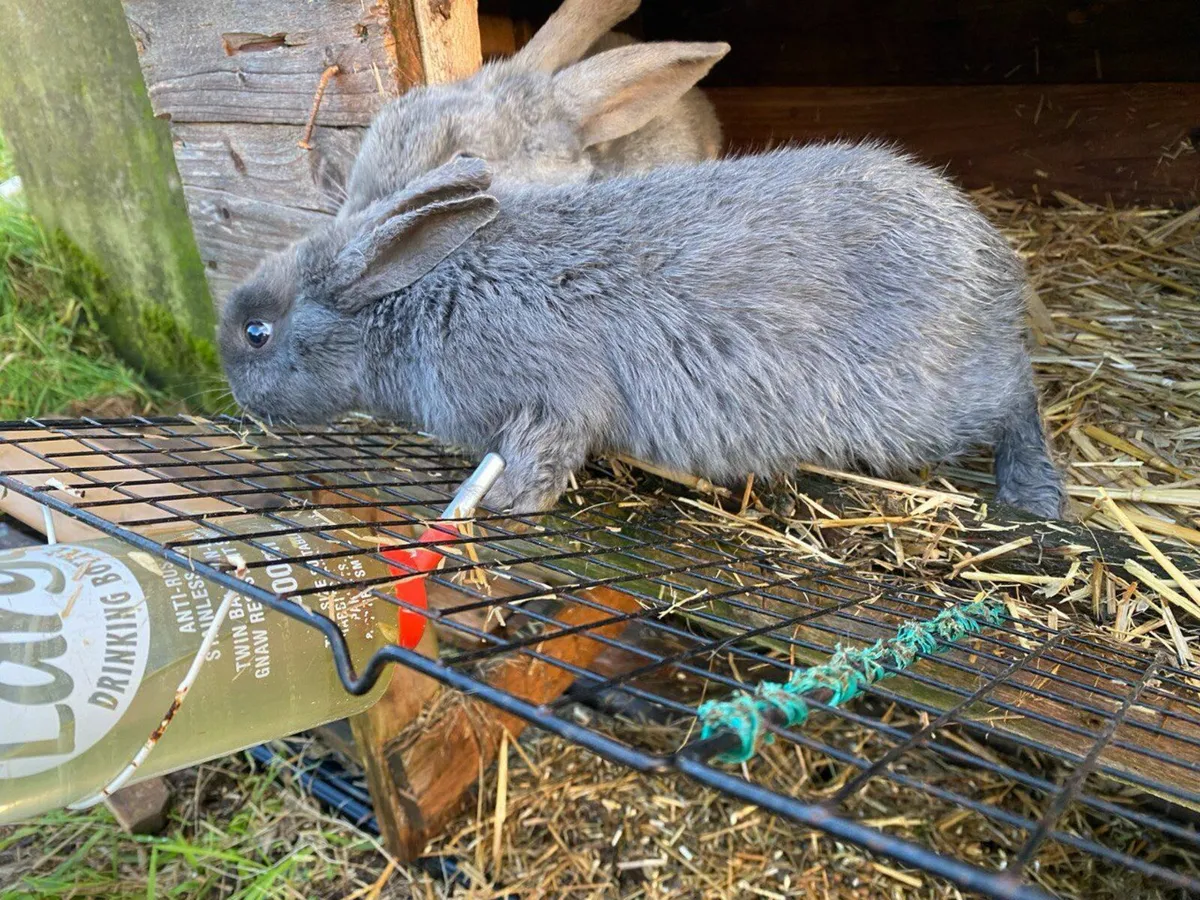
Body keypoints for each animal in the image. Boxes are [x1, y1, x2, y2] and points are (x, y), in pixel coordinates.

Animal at [219, 148, 1066, 520]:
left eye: (257, 332)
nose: (231, 386)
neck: (412, 295)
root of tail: (991, 251)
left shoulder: (550, 401)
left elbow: (540, 457)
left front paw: (498, 508)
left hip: (933, 402)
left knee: (1016, 396)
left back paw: (1034, 493)